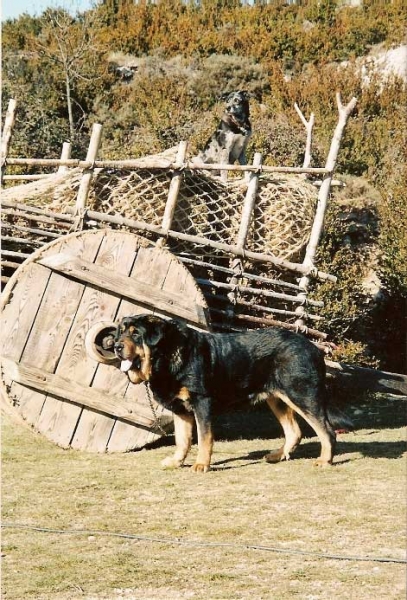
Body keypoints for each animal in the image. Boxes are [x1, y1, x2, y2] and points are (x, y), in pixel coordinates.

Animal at [115, 314, 350, 474]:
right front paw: (176, 462)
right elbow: (182, 441)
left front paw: (201, 464)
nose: (116, 345)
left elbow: (204, 438)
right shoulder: (180, 410)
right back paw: (277, 455)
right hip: (278, 398)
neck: (168, 355)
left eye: (136, 334)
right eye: (121, 332)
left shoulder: (202, 403)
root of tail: (313, 348)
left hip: (302, 395)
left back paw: (325, 460)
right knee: (294, 432)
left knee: (327, 431)